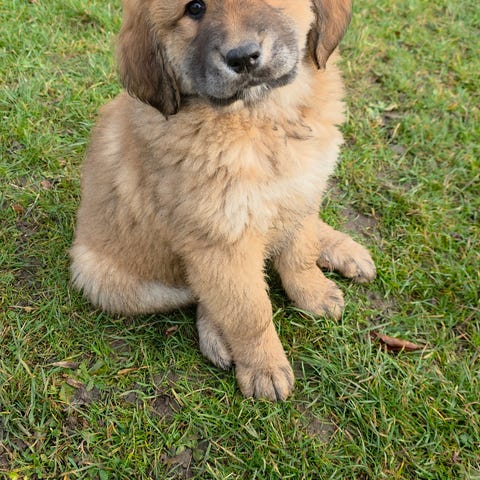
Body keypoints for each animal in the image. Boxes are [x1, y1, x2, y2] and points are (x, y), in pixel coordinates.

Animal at [71, 0, 376, 401]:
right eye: (194, 8)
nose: (243, 58)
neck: (261, 118)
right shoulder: (221, 242)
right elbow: (249, 310)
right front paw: (264, 368)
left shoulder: (304, 187)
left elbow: (299, 255)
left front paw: (313, 292)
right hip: (104, 278)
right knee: (200, 295)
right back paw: (216, 334)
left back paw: (345, 250)